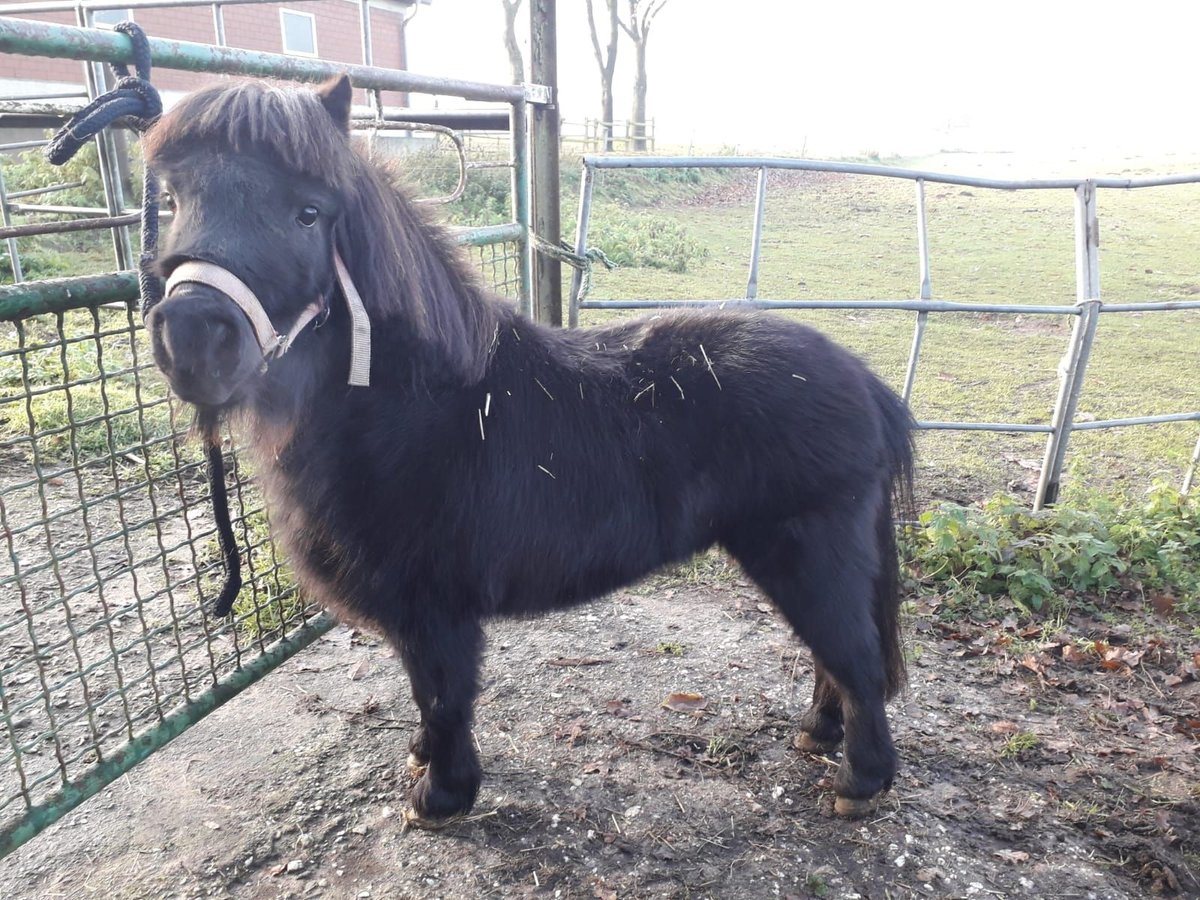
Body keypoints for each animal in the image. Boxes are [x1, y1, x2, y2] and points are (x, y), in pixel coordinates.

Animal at [145, 77, 912, 825]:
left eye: (308, 212)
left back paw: (860, 780)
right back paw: (817, 734)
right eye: (174, 197)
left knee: (855, 657)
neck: (414, 404)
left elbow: (442, 693)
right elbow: (425, 692)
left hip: (807, 554)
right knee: (835, 656)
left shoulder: (435, 607)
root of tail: (864, 383)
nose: (193, 339)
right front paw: (424, 760)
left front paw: (442, 795)